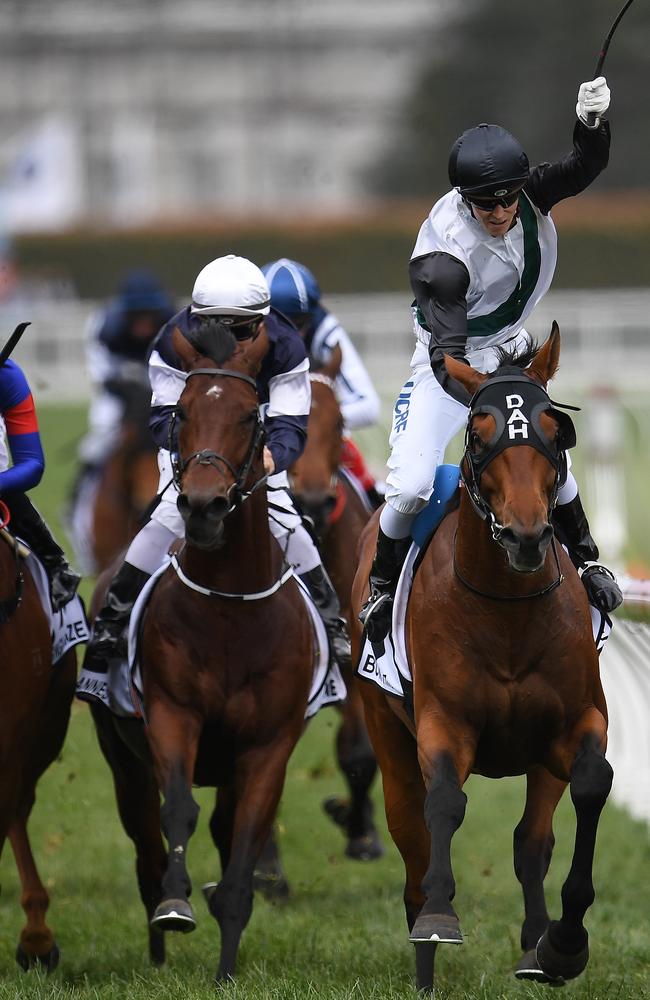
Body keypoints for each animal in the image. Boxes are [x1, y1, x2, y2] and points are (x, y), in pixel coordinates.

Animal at [89, 324, 316, 980]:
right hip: (122, 759)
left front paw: (227, 964)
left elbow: (244, 842)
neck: (232, 610)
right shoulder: (172, 714)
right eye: (183, 412)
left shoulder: (268, 746)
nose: (203, 505)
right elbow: (178, 811)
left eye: (248, 415)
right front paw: (175, 905)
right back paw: (158, 950)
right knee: (145, 842)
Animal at [352, 328, 612, 992]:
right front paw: (440, 919)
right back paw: (424, 962)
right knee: (412, 836)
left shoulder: (574, 722)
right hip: (384, 728)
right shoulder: (443, 724)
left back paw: (536, 948)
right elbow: (443, 803)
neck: (508, 614)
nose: (526, 536)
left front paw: (562, 944)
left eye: (554, 427)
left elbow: (590, 785)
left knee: (531, 841)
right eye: (479, 432)